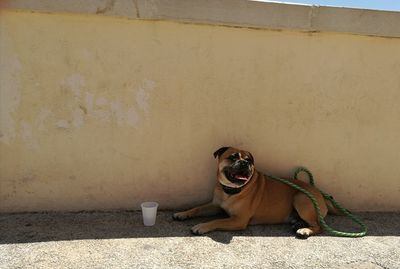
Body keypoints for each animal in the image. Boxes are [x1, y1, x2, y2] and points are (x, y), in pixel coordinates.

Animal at [173, 147, 332, 237]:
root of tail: (320, 194)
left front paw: (202, 226)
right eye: (233, 157)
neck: (230, 191)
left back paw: (305, 230)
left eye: (249, 160)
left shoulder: (238, 220)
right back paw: (299, 224)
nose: (245, 163)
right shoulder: (215, 206)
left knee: (319, 227)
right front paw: (183, 213)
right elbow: (197, 208)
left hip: (301, 198)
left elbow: (217, 220)